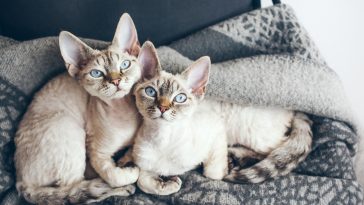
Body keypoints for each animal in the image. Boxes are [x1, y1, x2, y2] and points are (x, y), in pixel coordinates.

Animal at [14, 13, 139, 204]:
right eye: (96, 73)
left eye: (125, 65)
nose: (116, 81)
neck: (123, 111)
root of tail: (20, 180)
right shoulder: (97, 153)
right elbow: (114, 176)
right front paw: (130, 172)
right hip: (71, 131)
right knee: (75, 191)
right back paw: (124, 188)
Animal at [129, 42, 312, 195]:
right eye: (151, 92)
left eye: (180, 98)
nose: (163, 108)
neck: (163, 139)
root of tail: (293, 109)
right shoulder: (142, 162)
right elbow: (141, 181)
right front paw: (167, 184)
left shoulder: (216, 129)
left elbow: (213, 174)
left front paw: (224, 168)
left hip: (250, 132)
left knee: (275, 149)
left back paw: (235, 158)